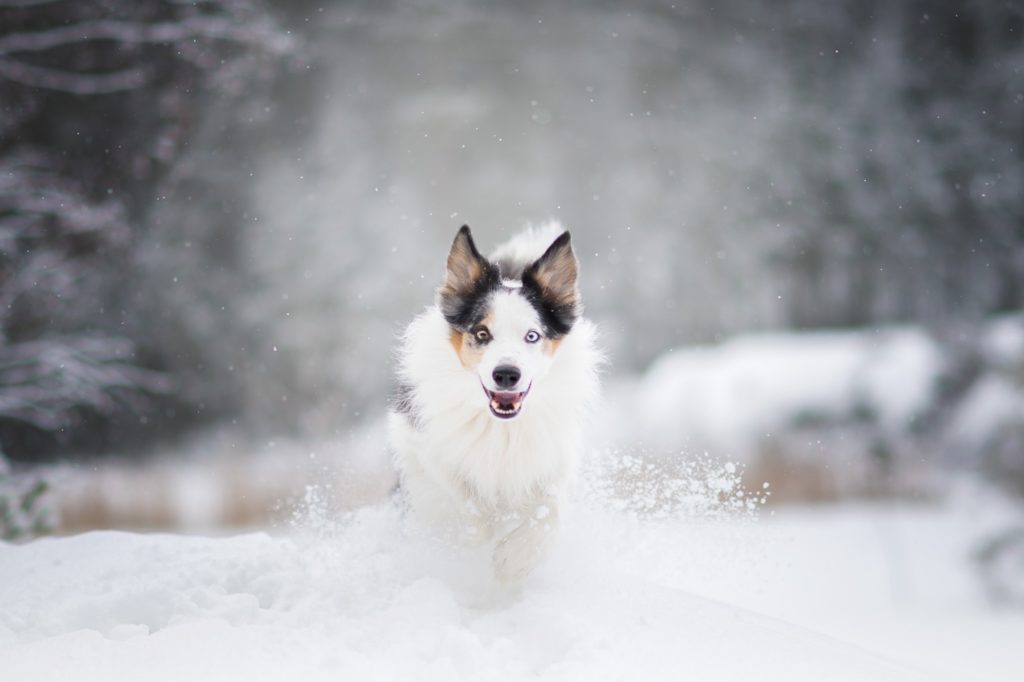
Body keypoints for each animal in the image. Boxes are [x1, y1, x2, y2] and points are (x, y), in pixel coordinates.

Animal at [389, 222, 598, 577]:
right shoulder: (422, 444)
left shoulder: (553, 460)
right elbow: (462, 493)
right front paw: (479, 538)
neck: (500, 428)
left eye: (532, 335)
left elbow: (549, 510)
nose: (506, 374)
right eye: (482, 333)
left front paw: (512, 559)